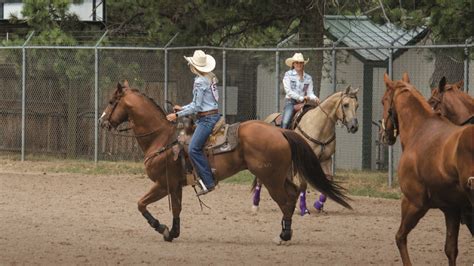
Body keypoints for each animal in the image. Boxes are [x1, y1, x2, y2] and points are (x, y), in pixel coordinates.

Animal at [252, 86, 360, 215]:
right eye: (345, 105)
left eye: (357, 105)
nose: (354, 127)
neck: (319, 127)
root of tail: (267, 119)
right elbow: (303, 184)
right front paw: (304, 209)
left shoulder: (326, 159)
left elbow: (328, 181)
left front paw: (318, 205)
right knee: (260, 179)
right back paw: (255, 205)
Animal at [382, 71, 474, 264]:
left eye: (383, 100)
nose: (385, 135)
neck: (420, 130)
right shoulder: (452, 209)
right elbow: (450, 250)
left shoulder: (413, 203)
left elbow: (400, 237)